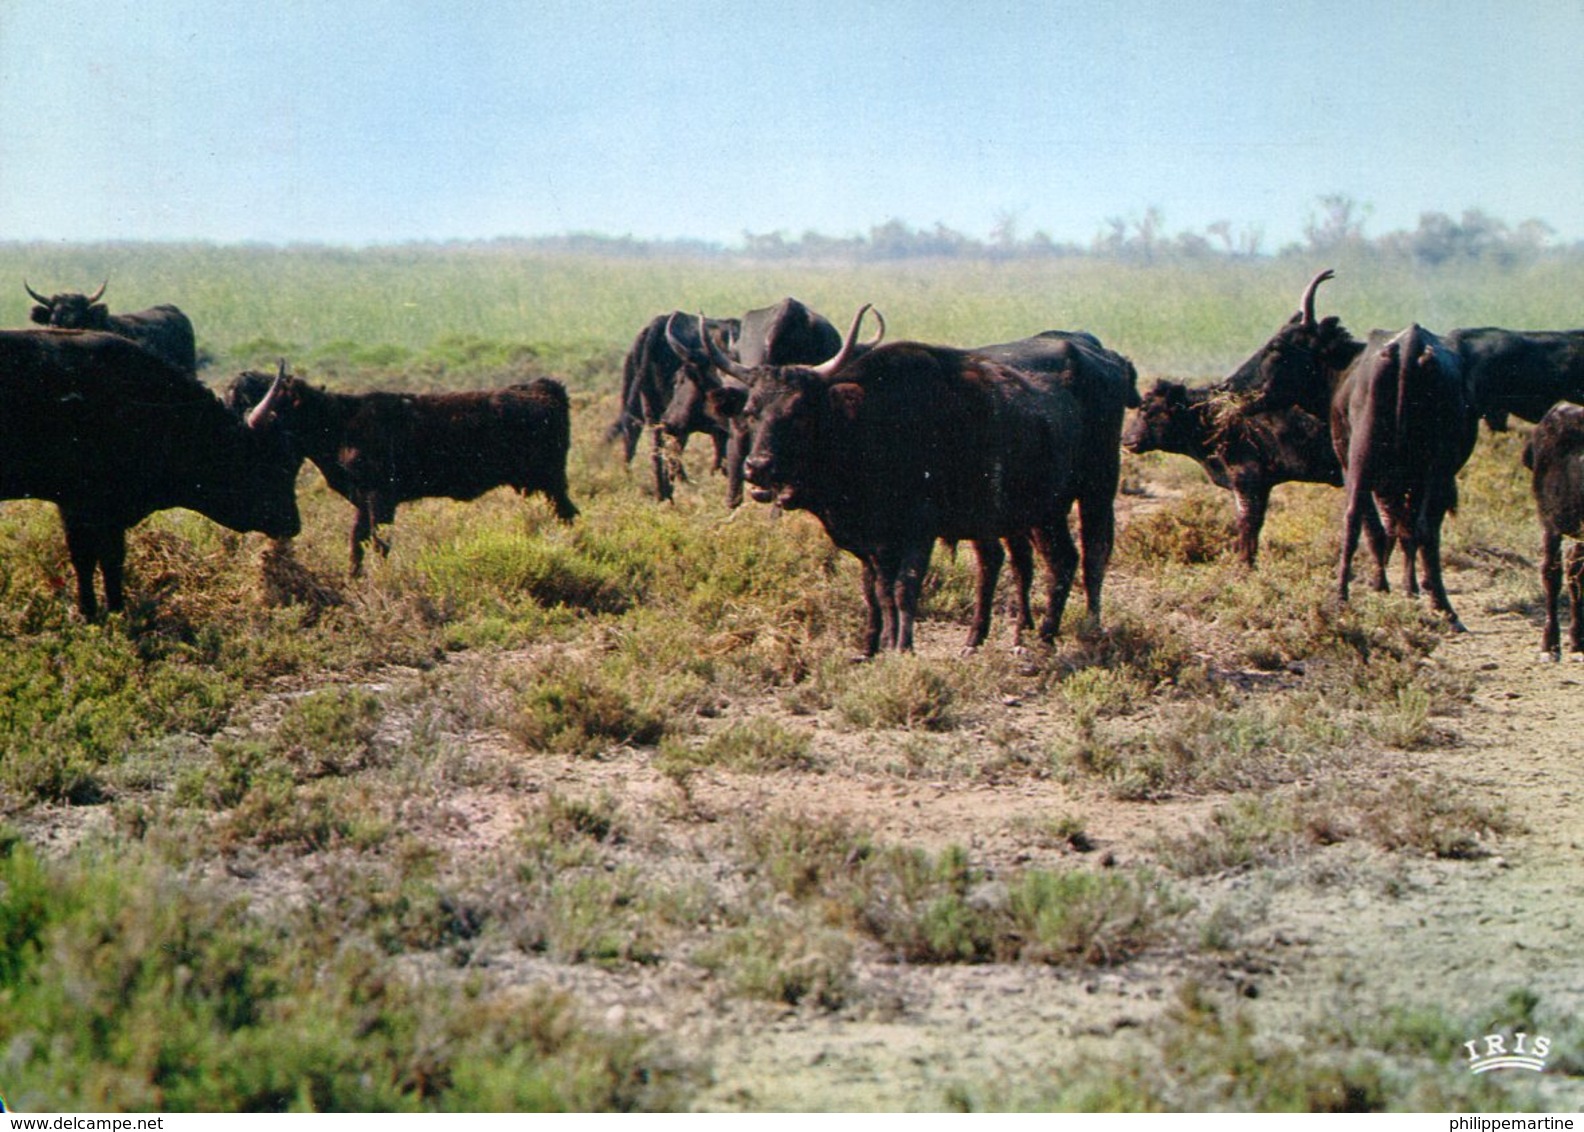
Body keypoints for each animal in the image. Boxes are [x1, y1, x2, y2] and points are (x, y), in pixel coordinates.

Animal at [0, 327, 299, 620]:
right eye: (270, 466)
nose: (293, 524)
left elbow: (111, 559)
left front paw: (115, 609)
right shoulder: (80, 507)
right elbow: (88, 559)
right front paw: (92, 613)